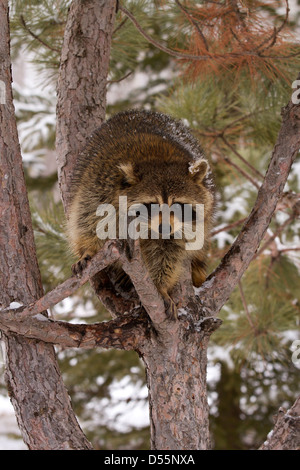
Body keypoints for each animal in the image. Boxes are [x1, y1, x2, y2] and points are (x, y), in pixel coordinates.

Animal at [67, 109, 214, 318]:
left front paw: (160, 286)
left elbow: (168, 252)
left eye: (178, 205)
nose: (164, 228)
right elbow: (88, 219)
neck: (159, 160)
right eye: (152, 204)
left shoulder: (185, 226)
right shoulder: (100, 186)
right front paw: (88, 250)